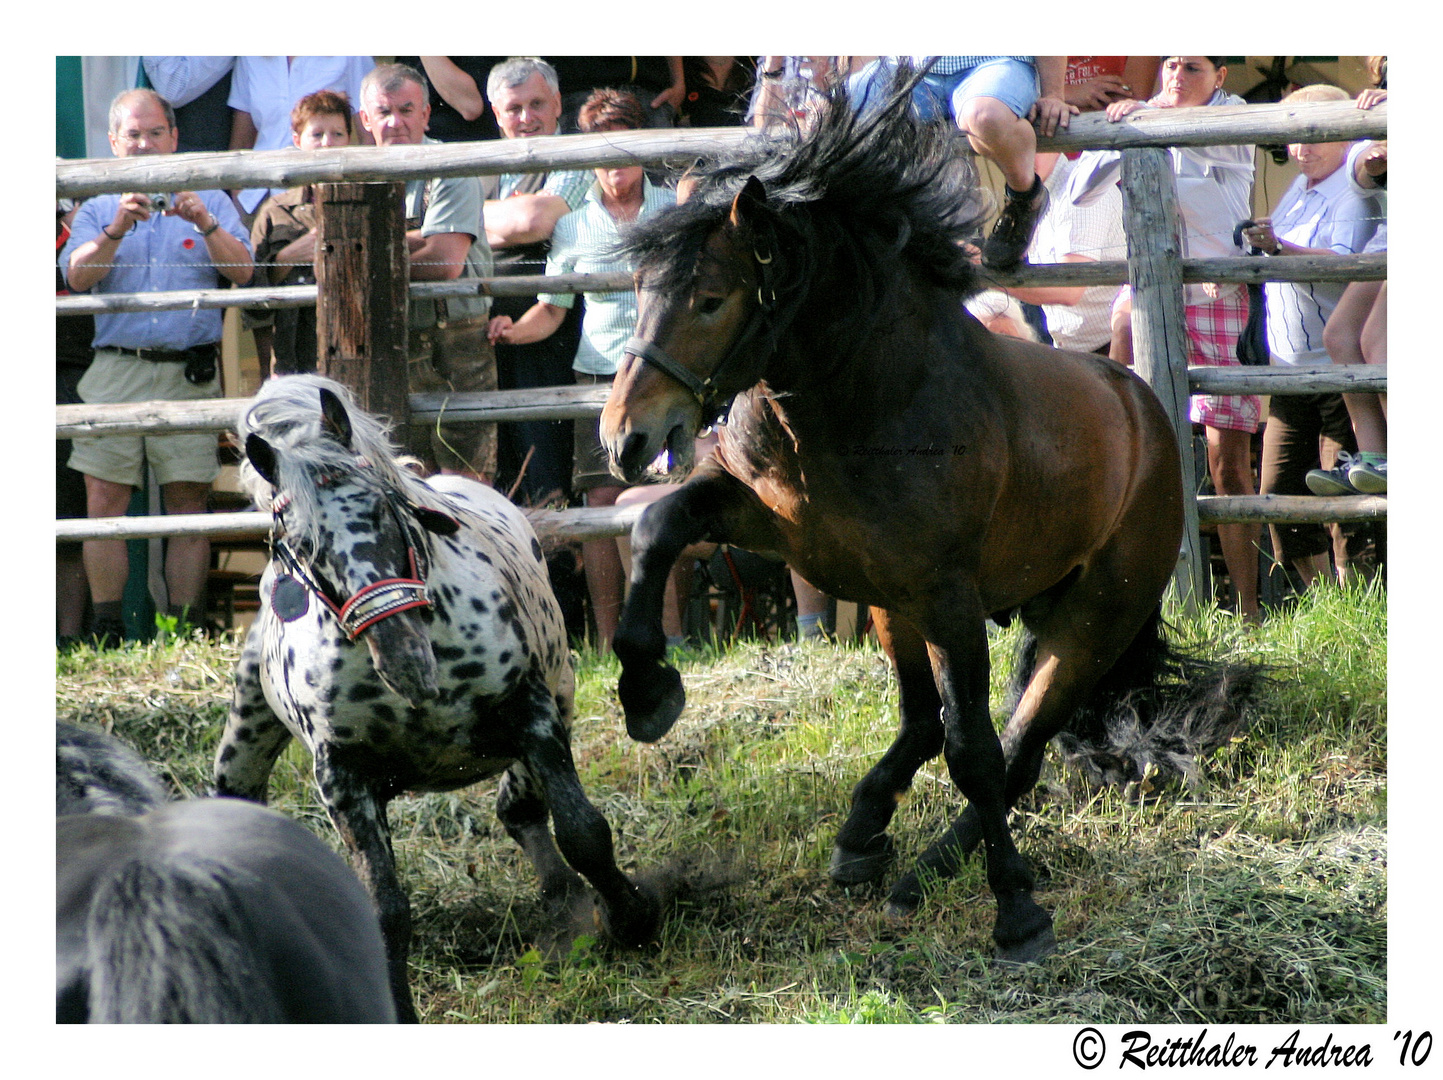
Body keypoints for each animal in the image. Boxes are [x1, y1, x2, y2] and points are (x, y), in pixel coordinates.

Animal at [210, 378, 660, 1022]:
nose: (405, 659)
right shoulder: (344, 780)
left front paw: (633, 919)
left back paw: (567, 903)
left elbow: (584, 833)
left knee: (521, 811)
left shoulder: (533, 714)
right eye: (299, 545)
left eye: (380, 507)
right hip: (240, 758)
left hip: (557, 702)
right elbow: (385, 910)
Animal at [597, 73, 1252, 964]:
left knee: (1010, 753)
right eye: (639, 291)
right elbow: (654, 528)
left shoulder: (949, 601)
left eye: (709, 299)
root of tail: (1145, 411)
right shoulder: (773, 525)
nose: (625, 437)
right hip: (892, 601)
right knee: (924, 721)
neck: (856, 406)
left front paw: (1016, 911)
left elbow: (974, 752)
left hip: (1091, 617)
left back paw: (925, 867)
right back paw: (868, 840)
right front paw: (646, 692)